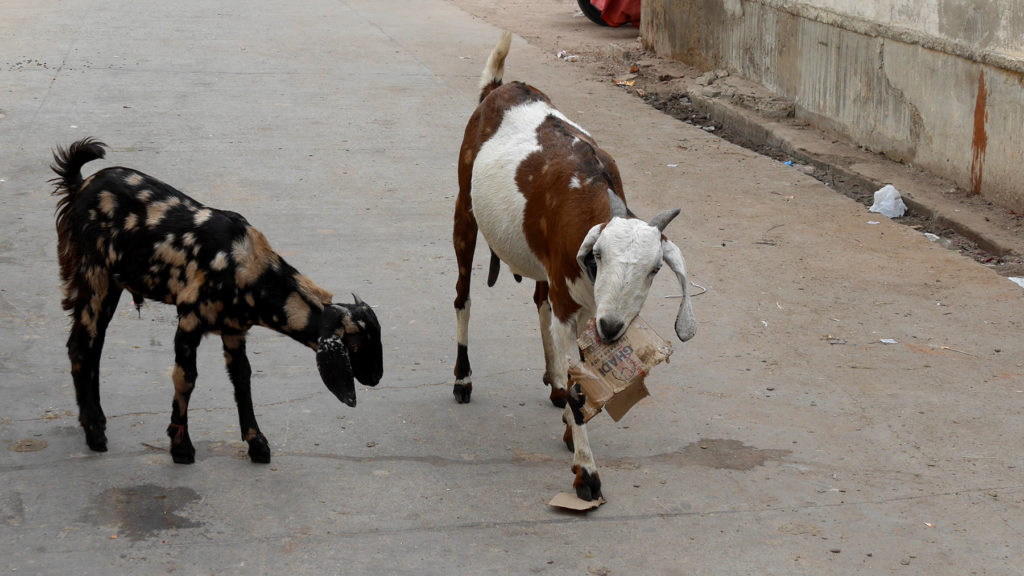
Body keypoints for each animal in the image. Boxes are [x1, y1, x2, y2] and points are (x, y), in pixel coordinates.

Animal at [50, 138, 385, 461]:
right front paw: (181, 447)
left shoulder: (234, 329)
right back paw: (95, 433)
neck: (246, 265)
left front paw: (257, 443)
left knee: (92, 347)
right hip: (94, 277)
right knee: (81, 345)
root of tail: (81, 185)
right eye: (355, 345)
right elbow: (186, 378)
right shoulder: (189, 321)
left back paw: (96, 423)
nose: (376, 377)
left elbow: (242, 379)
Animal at [450, 32, 696, 498]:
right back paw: (462, 380)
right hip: (464, 211)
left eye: (655, 269)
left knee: (539, 301)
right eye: (598, 255)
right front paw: (587, 473)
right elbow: (582, 388)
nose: (613, 328)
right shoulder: (575, 304)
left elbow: (582, 372)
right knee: (463, 297)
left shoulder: (587, 306)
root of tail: (499, 89)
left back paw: (554, 381)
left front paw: (569, 423)